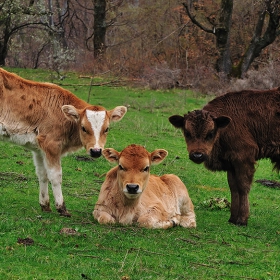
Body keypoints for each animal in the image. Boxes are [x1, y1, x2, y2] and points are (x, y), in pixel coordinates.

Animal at [0, 68, 127, 217]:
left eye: (107, 129)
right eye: (83, 128)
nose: (96, 151)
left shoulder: (38, 148)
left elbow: (42, 174)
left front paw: (45, 205)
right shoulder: (51, 143)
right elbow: (56, 176)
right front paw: (62, 208)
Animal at [168, 88, 280, 226]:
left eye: (210, 133)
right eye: (187, 133)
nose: (197, 155)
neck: (227, 126)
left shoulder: (244, 159)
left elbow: (243, 187)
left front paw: (242, 219)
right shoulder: (231, 163)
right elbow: (233, 188)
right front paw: (232, 218)